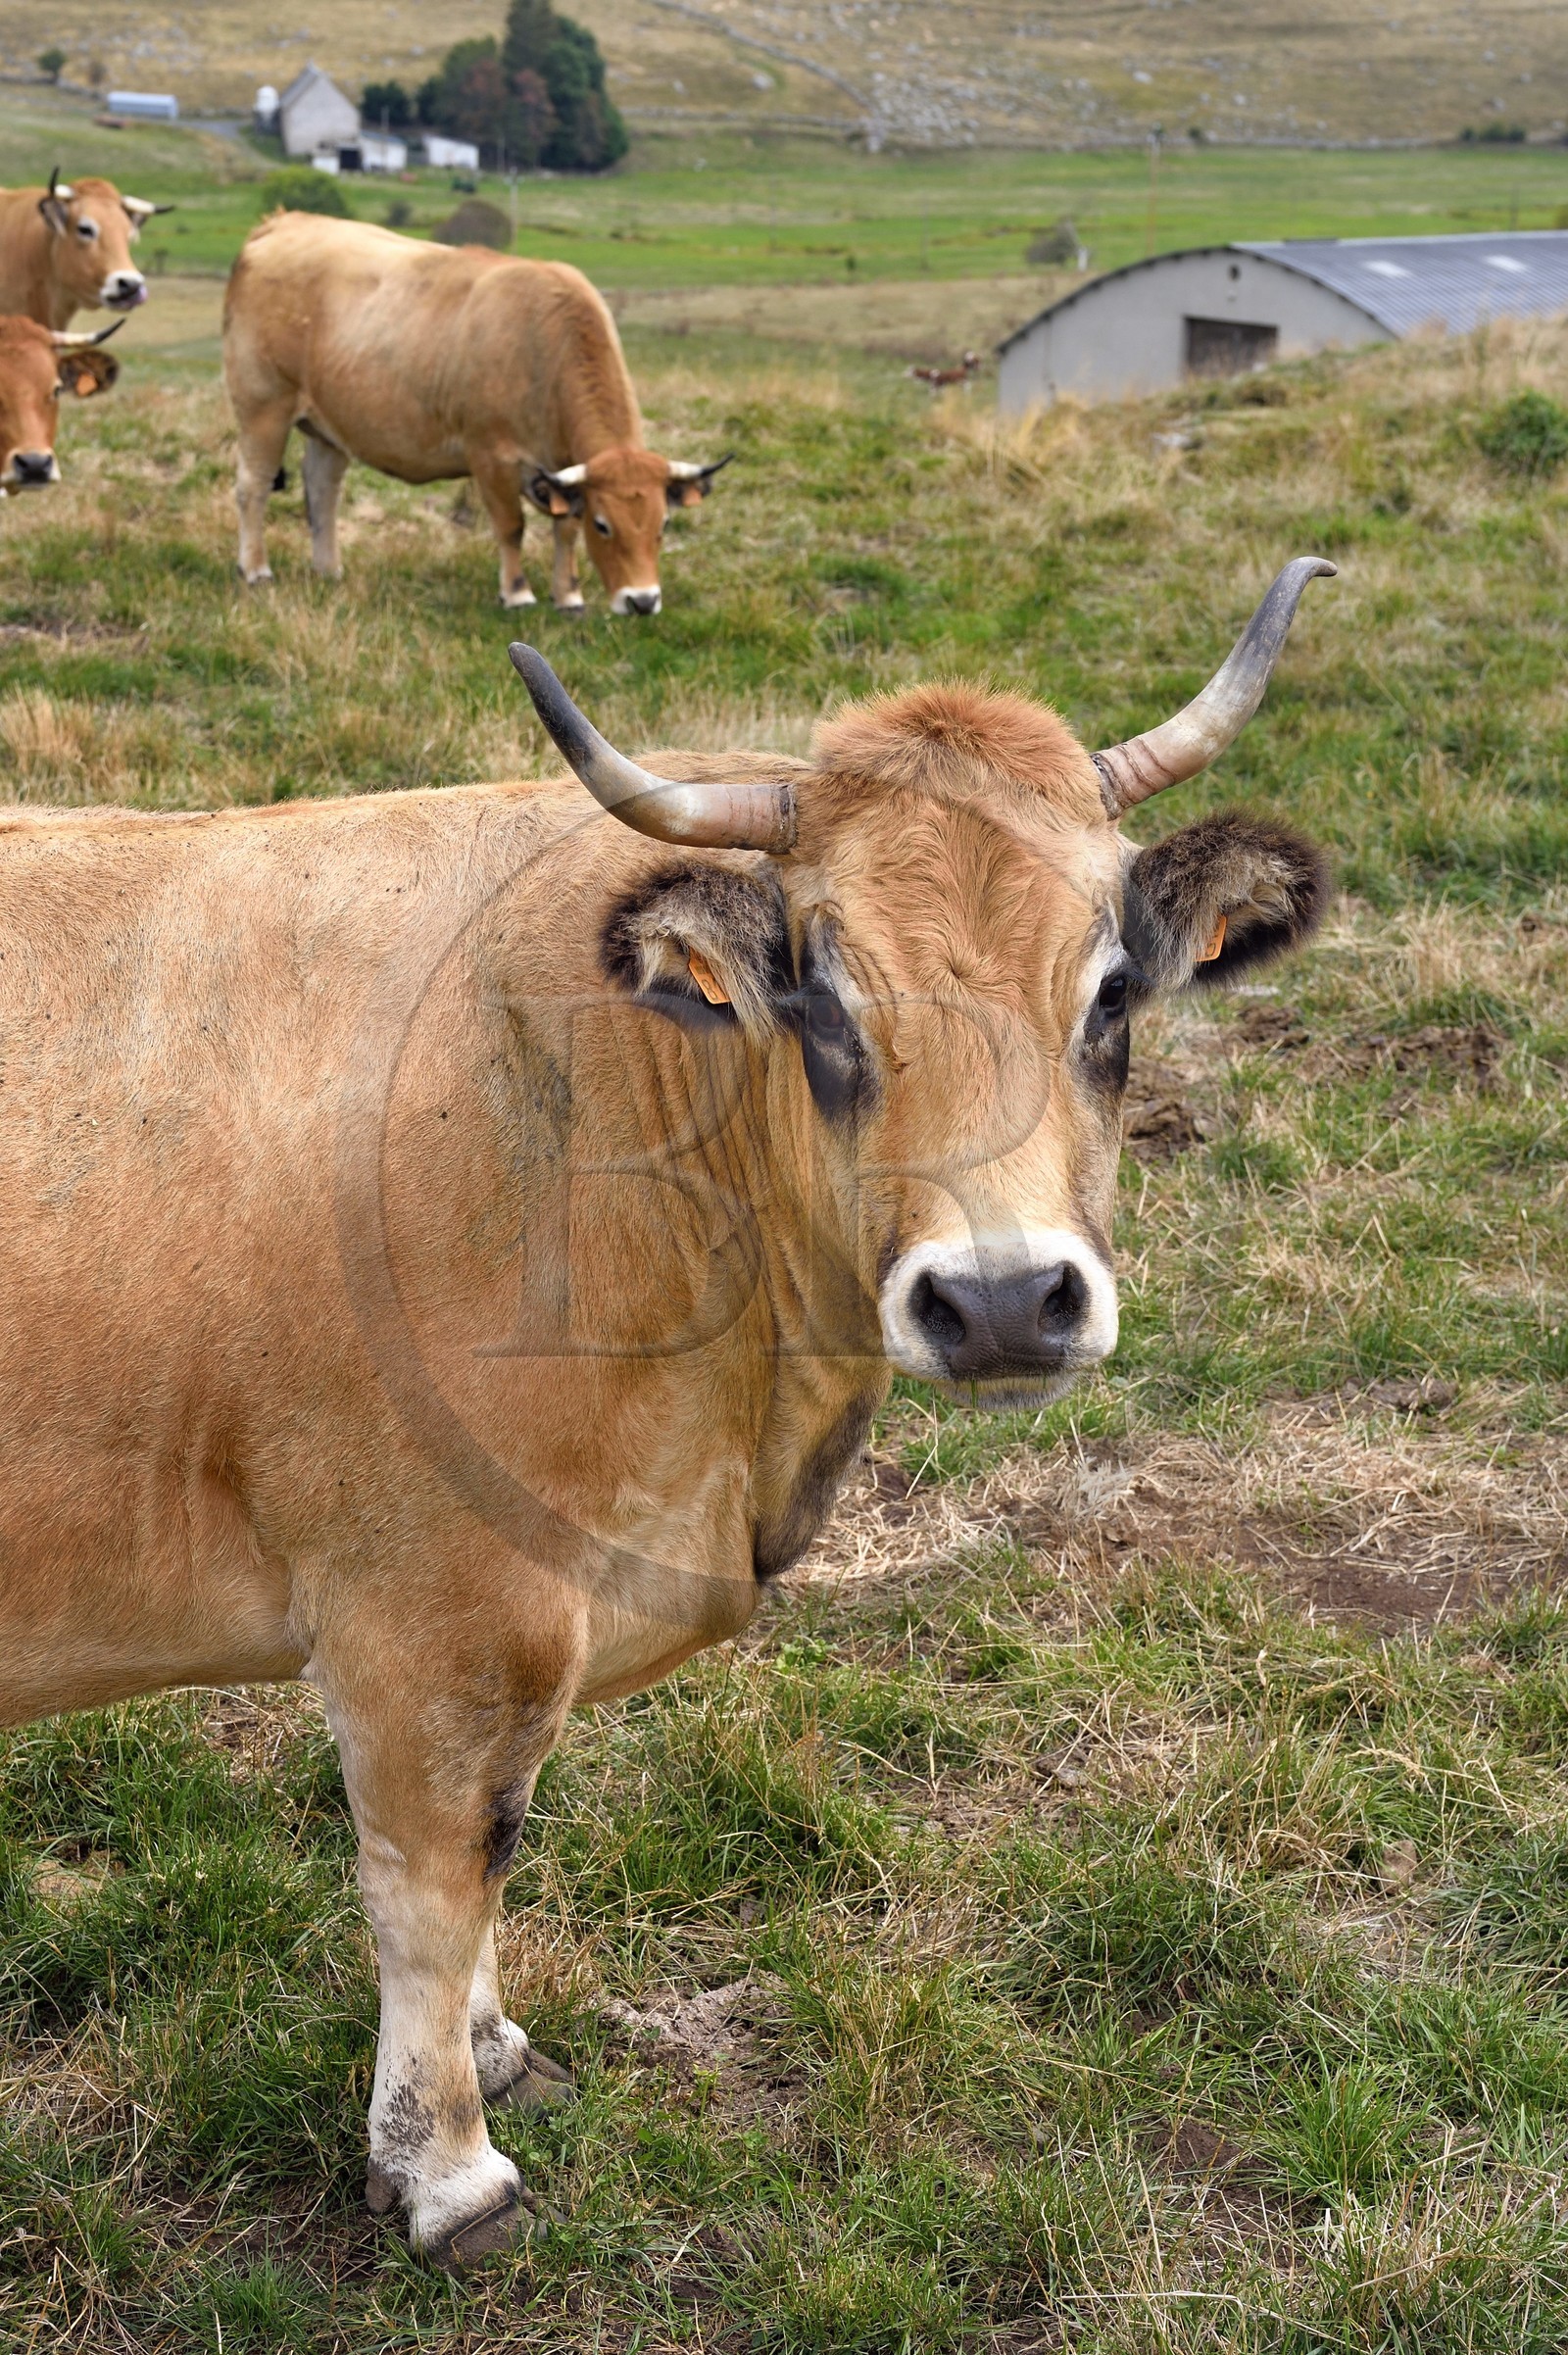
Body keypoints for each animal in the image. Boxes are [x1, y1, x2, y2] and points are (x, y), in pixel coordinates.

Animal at [0, 560, 1331, 2268]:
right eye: (820, 994)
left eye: (1111, 991)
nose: (1003, 1298)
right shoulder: (431, 1616)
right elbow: (436, 1876)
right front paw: (446, 2162)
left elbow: (493, 1859)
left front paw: (493, 2045)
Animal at [221, 211, 730, 614]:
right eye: (604, 525)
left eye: (664, 524)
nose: (642, 601)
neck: (542, 346)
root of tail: (282, 222)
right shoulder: (491, 456)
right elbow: (511, 527)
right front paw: (517, 593)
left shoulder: (561, 470)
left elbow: (564, 528)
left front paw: (568, 596)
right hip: (264, 406)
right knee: (253, 486)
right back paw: (256, 569)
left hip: (328, 426)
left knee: (322, 490)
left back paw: (328, 569)